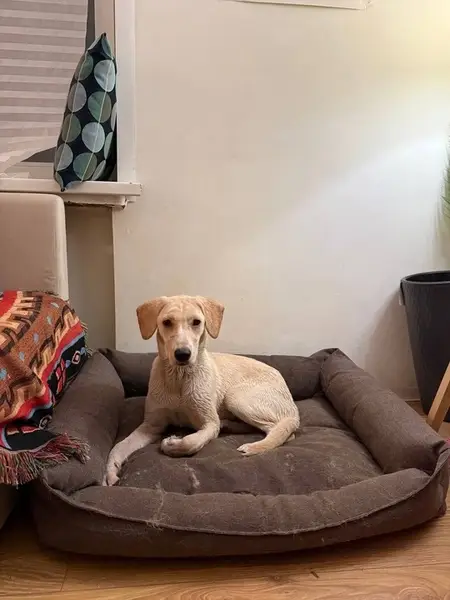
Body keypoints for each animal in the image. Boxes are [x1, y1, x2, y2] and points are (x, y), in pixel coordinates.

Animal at [104, 295, 300, 486]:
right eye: (167, 322)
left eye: (196, 322)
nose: (183, 354)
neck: (179, 378)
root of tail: (293, 408)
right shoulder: (151, 425)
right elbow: (120, 445)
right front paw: (110, 471)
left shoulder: (209, 423)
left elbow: (191, 441)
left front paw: (172, 444)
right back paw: (228, 424)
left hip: (236, 397)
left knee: (283, 432)